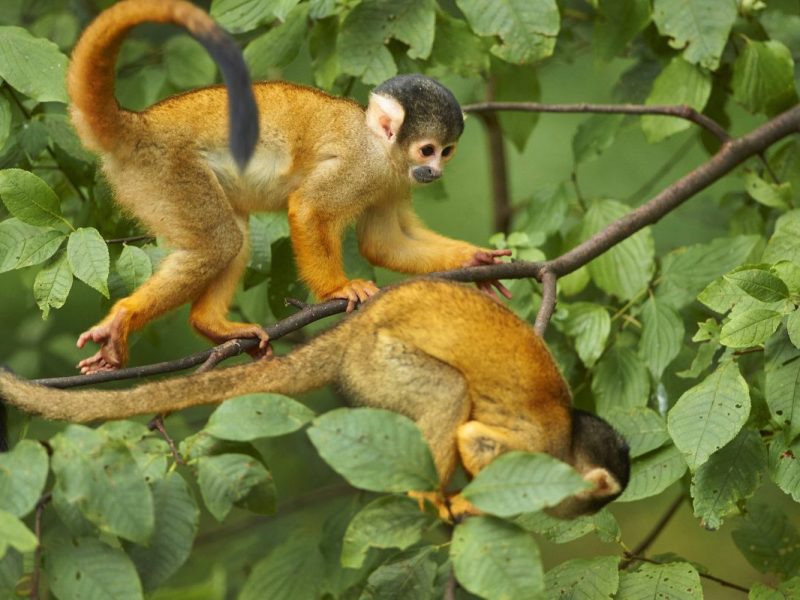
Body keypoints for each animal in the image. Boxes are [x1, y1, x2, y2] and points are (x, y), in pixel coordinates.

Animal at [0, 282, 632, 520]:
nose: (573, 513)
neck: (567, 437)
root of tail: (354, 332)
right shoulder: (536, 448)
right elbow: (476, 440)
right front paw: (469, 504)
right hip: (379, 360)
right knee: (449, 392)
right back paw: (430, 497)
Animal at [65, 1, 510, 376]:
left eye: (446, 152)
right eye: (427, 149)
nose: (434, 171)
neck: (382, 150)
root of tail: (137, 124)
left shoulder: (393, 182)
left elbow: (382, 243)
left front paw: (474, 259)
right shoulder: (361, 167)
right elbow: (310, 209)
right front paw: (338, 288)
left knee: (234, 237)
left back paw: (210, 325)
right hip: (164, 172)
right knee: (218, 242)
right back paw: (124, 317)